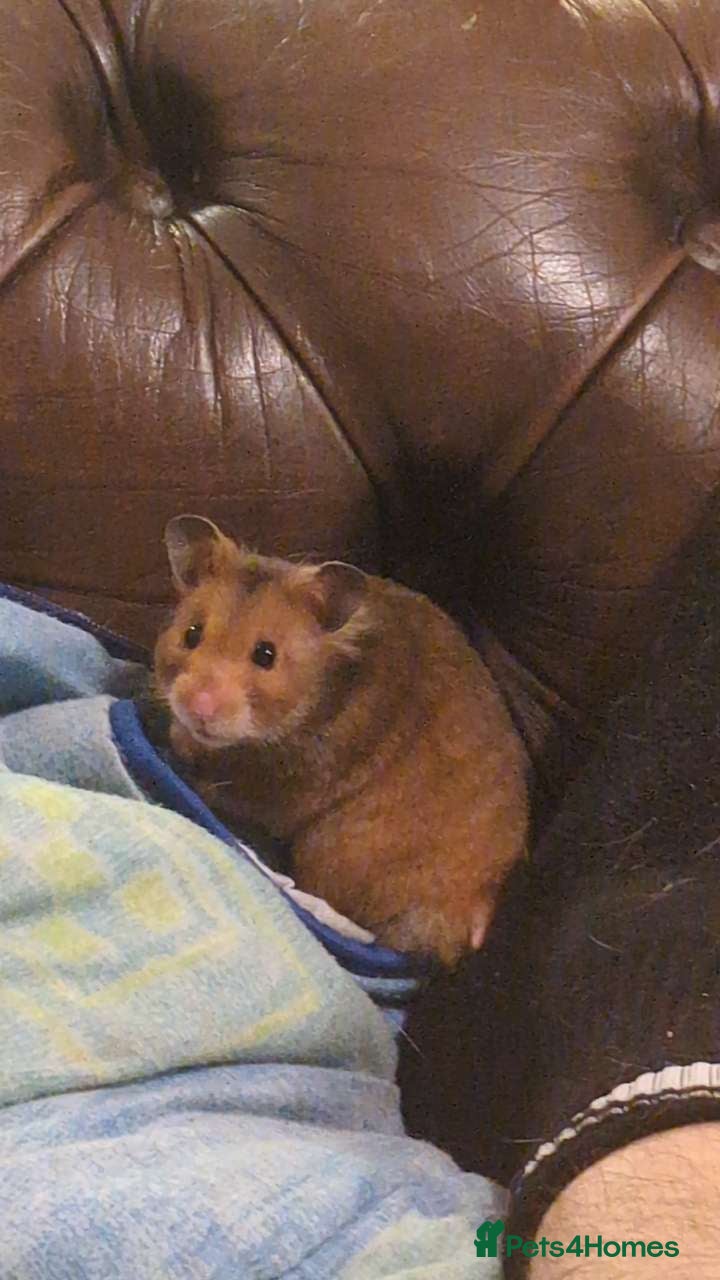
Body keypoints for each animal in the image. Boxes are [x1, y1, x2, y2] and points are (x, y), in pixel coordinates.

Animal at [153, 515, 529, 965]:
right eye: (192, 634)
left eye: (266, 654)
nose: (198, 708)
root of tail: (478, 909)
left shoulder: (286, 789)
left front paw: (179, 744)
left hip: (330, 848)